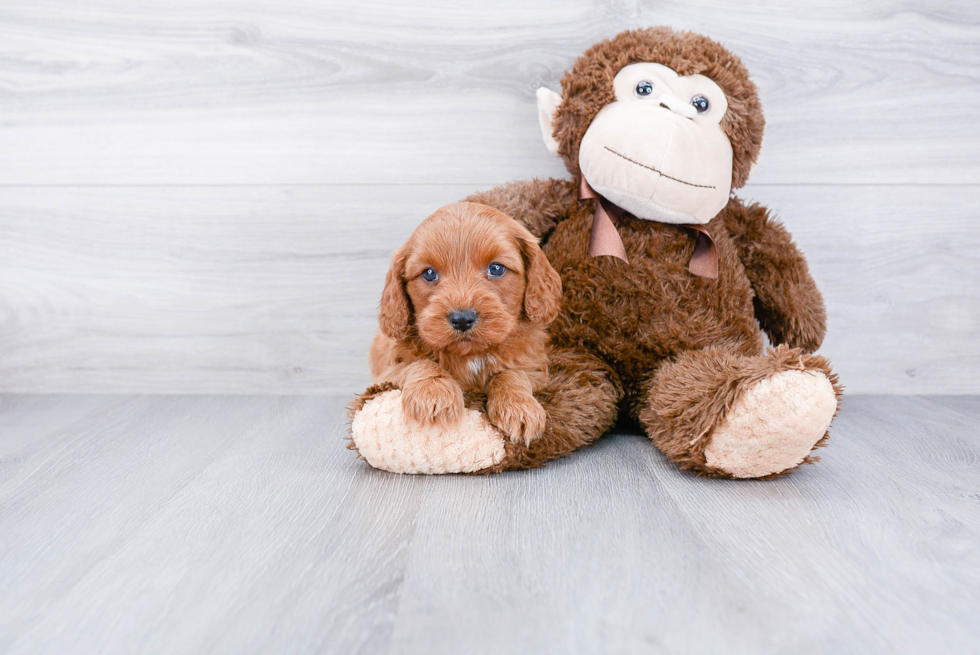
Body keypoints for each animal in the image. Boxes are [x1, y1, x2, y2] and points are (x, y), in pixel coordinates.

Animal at [368, 200, 564, 446]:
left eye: (496, 268)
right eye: (429, 273)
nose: (462, 319)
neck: (471, 355)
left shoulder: (534, 367)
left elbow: (510, 373)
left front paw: (519, 406)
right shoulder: (385, 376)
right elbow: (419, 363)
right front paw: (434, 394)